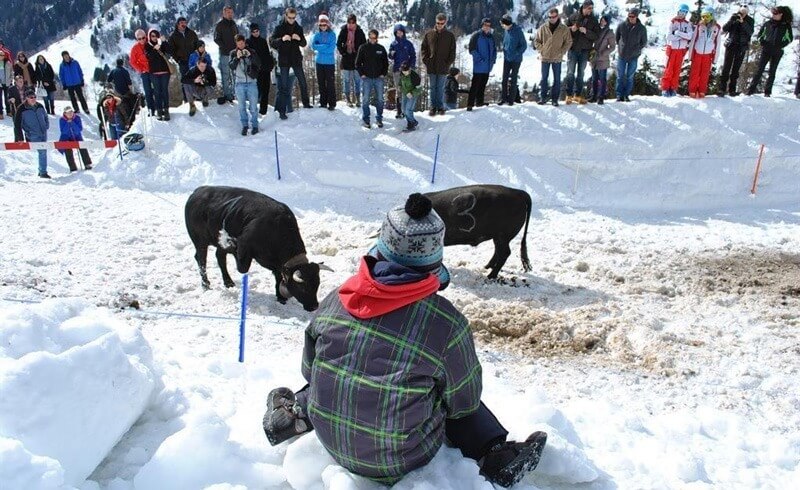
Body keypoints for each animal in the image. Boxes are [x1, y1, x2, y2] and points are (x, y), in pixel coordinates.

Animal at [186, 186, 330, 312]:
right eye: (303, 287)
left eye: (317, 284)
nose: (314, 307)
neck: (275, 228)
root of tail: (198, 191)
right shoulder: (245, 250)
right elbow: (242, 268)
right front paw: (231, 242)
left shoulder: (277, 265)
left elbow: (278, 277)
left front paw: (281, 297)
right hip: (200, 241)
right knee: (201, 259)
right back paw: (206, 285)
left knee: (219, 256)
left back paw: (228, 282)